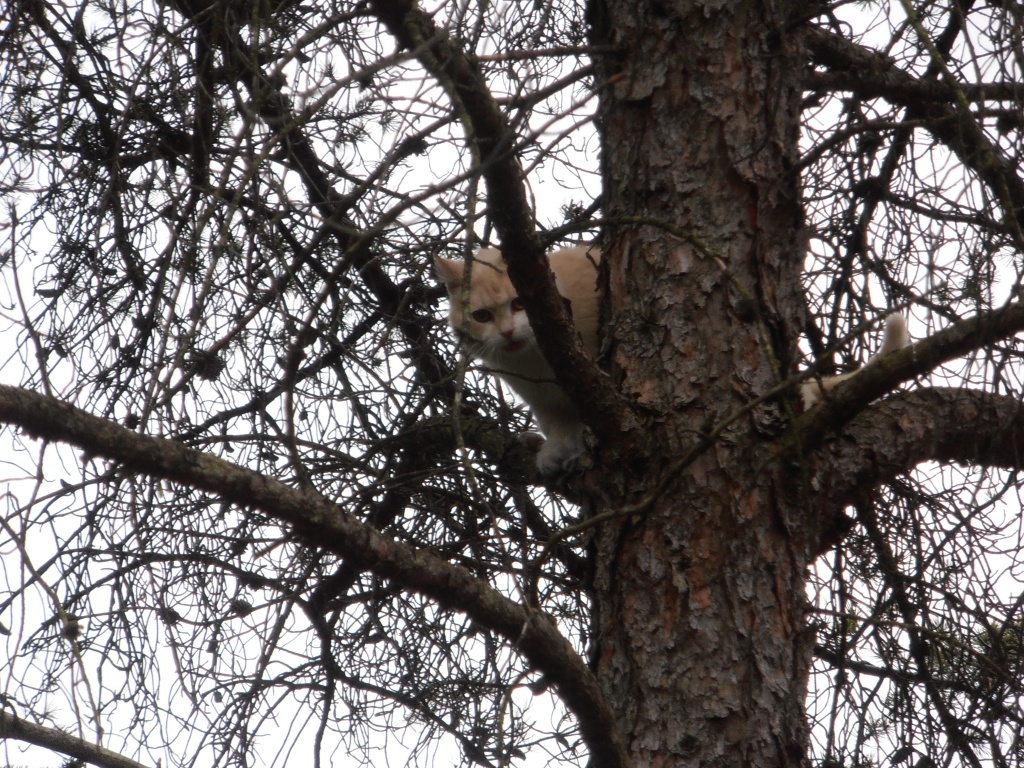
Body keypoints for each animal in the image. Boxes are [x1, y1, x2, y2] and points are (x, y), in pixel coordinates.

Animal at [436, 246, 909, 475]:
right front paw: (559, 449)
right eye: (482, 316)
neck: (535, 363)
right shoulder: (544, 400)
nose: (508, 333)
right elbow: (559, 424)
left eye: (521, 304)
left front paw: (582, 444)